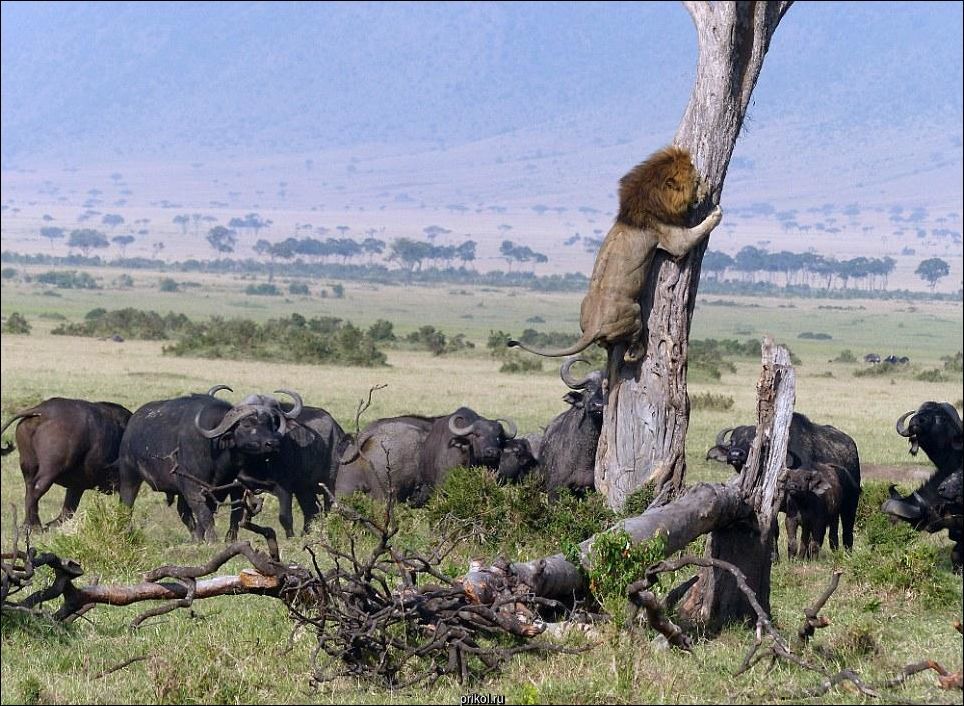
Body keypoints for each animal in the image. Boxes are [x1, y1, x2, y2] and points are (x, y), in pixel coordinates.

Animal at [508, 146, 723, 387]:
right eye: (696, 182)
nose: (708, 187)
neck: (650, 199)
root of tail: (592, 326)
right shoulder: (673, 238)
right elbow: (697, 232)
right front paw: (715, 212)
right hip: (634, 311)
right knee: (633, 342)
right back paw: (637, 351)